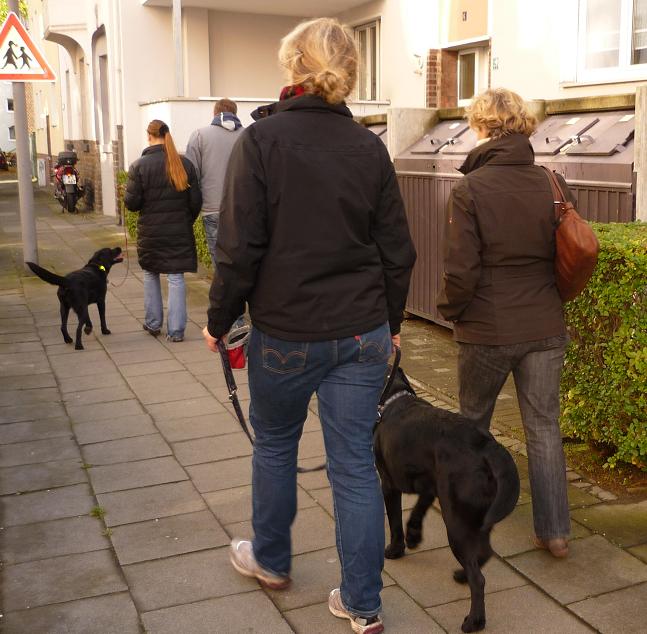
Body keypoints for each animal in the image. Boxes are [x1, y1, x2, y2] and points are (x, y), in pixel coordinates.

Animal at [374, 362, 520, 628]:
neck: (395, 398)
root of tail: (488, 446)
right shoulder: (432, 485)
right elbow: (418, 509)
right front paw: (413, 536)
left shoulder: (388, 484)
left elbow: (395, 520)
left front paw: (395, 549)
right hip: (475, 515)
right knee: (484, 552)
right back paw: (462, 575)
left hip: (456, 523)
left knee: (479, 578)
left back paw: (474, 621)